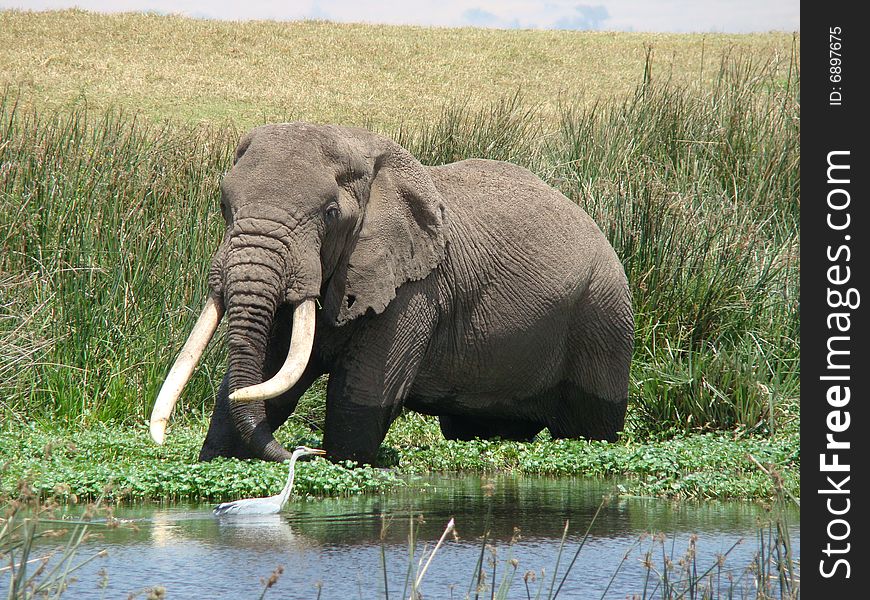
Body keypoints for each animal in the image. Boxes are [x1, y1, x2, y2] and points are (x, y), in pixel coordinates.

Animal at [150, 122, 632, 464]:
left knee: (591, 427)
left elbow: (362, 394)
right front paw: (217, 460)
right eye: (223, 205)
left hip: (602, 315)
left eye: (330, 214)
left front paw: (341, 462)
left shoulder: (417, 288)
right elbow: (268, 379)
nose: (304, 455)